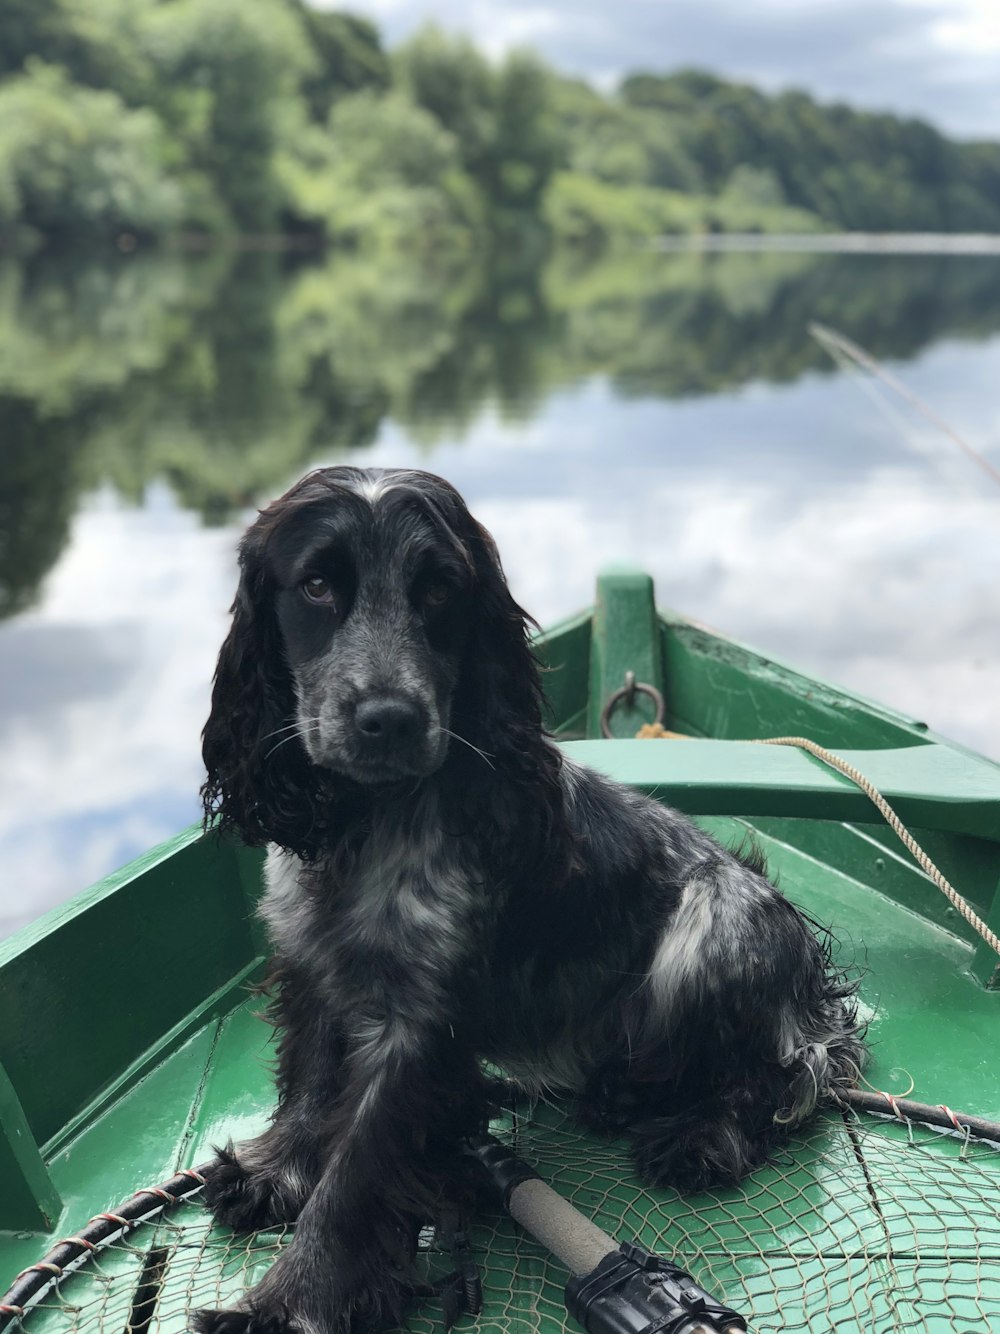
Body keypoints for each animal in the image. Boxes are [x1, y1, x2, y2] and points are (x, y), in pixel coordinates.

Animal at [196, 466, 864, 1334]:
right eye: (315, 585)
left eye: (440, 589)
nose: (389, 719)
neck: (365, 826)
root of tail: (813, 982)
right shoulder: (310, 963)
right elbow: (310, 1085)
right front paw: (272, 1174)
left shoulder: (420, 1030)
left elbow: (354, 1179)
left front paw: (286, 1307)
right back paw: (618, 1093)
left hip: (707, 936)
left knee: (783, 1075)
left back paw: (698, 1137)